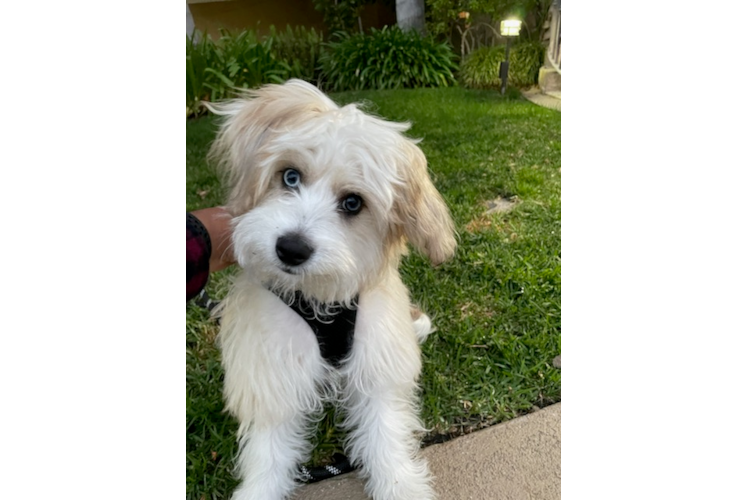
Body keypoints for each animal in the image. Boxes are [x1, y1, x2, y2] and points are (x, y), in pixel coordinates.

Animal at [207, 80, 458, 498]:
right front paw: (259, 490)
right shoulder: (272, 368)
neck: (319, 301)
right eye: (290, 177)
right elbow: (268, 453)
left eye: (353, 203)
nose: (291, 248)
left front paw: (400, 485)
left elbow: (384, 435)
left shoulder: (376, 361)